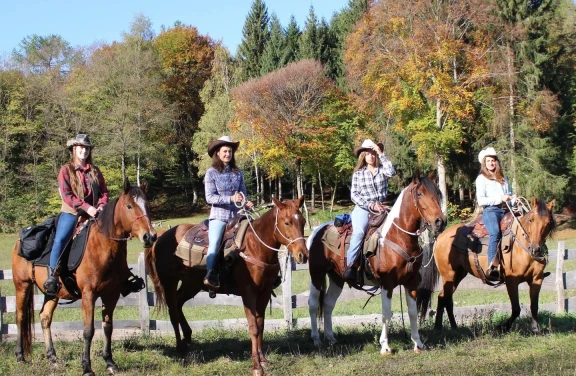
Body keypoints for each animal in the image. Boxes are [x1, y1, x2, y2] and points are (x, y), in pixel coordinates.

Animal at [12, 180, 158, 376]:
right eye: (129, 206)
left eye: (147, 206)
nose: (150, 236)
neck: (102, 248)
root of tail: (19, 242)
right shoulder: (88, 295)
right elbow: (88, 331)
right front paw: (87, 367)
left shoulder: (111, 295)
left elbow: (108, 327)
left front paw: (110, 362)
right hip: (22, 286)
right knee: (20, 317)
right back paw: (20, 357)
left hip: (52, 293)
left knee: (45, 317)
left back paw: (53, 358)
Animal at [147, 197, 310, 376]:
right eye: (287, 222)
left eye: (302, 221)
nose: (303, 255)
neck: (255, 246)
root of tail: (161, 237)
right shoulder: (248, 293)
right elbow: (253, 327)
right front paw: (256, 366)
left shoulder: (265, 292)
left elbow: (261, 325)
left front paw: (263, 361)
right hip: (169, 281)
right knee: (173, 311)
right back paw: (180, 347)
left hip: (191, 284)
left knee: (178, 303)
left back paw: (187, 338)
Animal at [308, 175, 448, 354]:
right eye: (420, 193)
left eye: (438, 194)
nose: (440, 222)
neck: (398, 237)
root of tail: (317, 231)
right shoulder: (387, 284)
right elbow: (386, 314)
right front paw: (385, 346)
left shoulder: (411, 282)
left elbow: (412, 312)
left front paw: (418, 343)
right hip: (316, 274)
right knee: (313, 304)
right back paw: (316, 339)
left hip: (337, 278)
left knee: (328, 303)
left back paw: (331, 338)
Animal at [418, 197, 560, 332]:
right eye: (531, 220)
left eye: (549, 223)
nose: (536, 249)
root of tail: (440, 236)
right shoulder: (511, 281)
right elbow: (516, 309)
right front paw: (503, 326)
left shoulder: (537, 279)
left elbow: (534, 306)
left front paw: (535, 329)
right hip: (448, 275)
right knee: (446, 298)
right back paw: (444, 327)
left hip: (458, 275)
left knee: (444, 298)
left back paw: (447, 326)